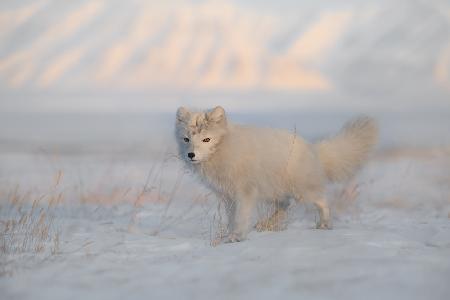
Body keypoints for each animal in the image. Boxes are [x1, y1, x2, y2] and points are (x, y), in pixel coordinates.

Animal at [174, 106, 378, 243]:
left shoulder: (245, 193)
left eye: (206, 139)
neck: (225, 149)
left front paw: (237, 237)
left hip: (301, 190)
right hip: (273, 190)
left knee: (322, 201)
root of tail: (312, 148)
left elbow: (241, 217)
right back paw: (267, 225)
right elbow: (232, 218)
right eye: (186, 139)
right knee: (285, 204)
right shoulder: (227, 195)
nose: (191, 155)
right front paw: (231, 235)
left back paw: (324, 224)